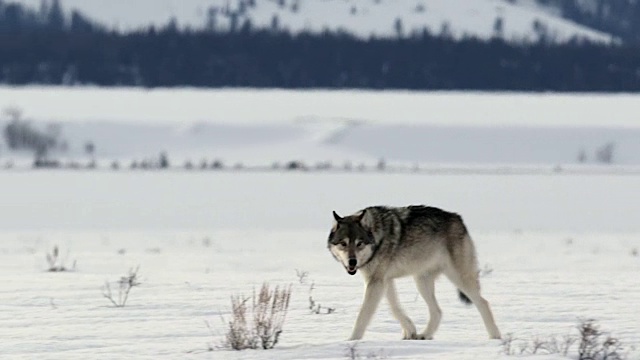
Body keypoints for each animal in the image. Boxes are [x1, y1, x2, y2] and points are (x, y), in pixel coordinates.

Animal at [328, 205, 502, 340]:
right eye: (343, 244)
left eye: (359, 244)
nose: (352, 262)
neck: (377, 236)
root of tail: (458, 218)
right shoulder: (383, 280)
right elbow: (395, 308)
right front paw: (410, 330)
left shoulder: (376, 282)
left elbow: (363, 314)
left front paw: (352, 341)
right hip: (421, 281)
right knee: (437, 311)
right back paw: (425, 335)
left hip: (458, 278)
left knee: (483, 303)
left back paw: (495, 337)